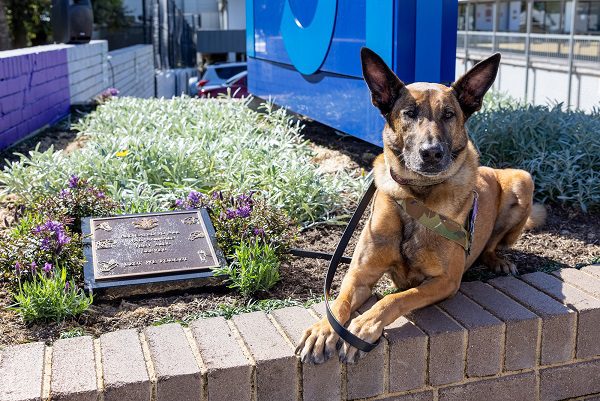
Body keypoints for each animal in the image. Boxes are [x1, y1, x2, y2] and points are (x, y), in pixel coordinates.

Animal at [298, 48, 548, 364]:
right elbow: (338, 301)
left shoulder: (445, 281)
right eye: (409, 113)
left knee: (492, 245)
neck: (417, 195)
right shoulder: (360, 274)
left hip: (522, 180)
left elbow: (396, 298)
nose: (431, 153)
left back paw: (498, 261)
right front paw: (322, 329)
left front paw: (365, 323)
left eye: (449, 114)